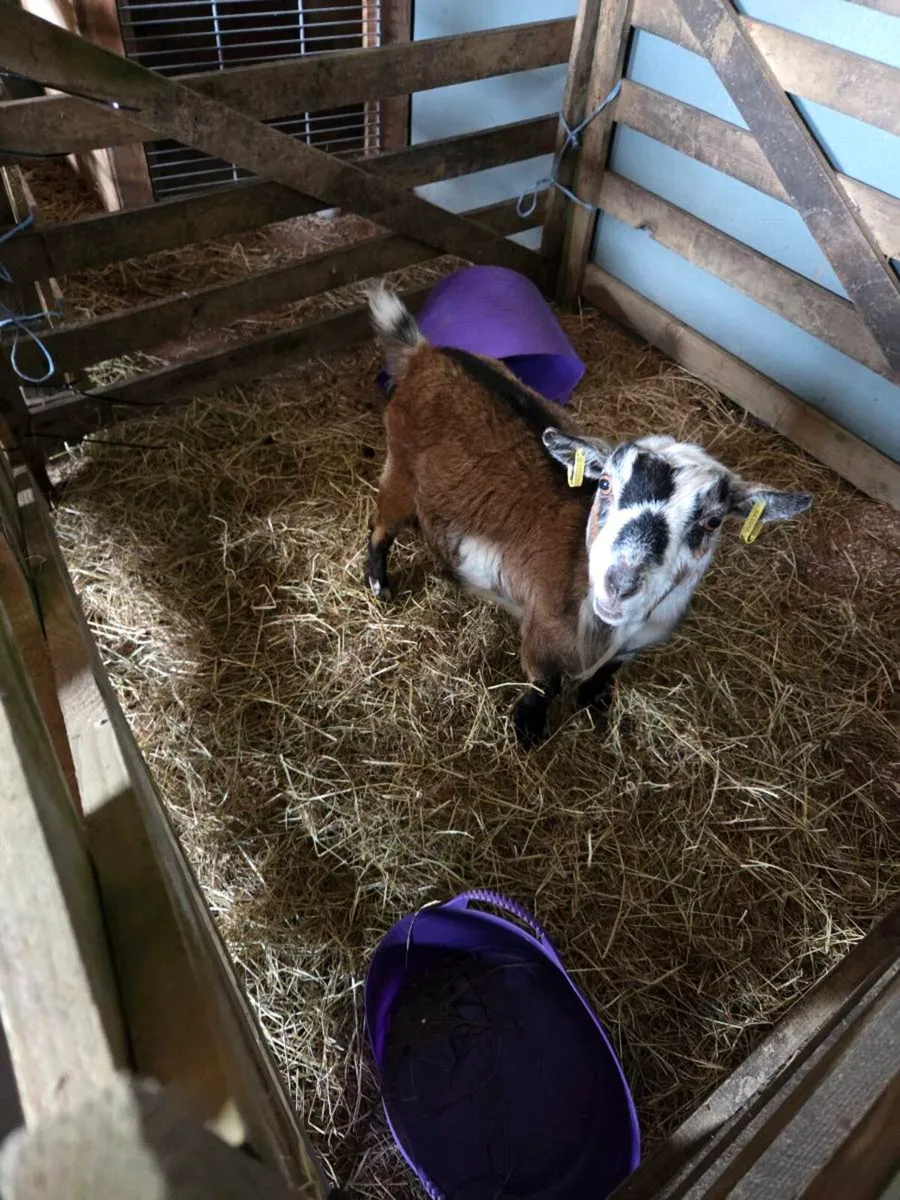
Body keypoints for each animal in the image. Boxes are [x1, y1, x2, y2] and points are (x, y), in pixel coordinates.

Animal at [365, 286, 813, 746]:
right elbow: (544, 684)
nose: (620, 584)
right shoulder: (542, 630)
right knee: (381, 526)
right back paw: (380, 584)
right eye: (605, 485)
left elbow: (606, 675)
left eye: (713, 521)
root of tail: (425, 352)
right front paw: (528, 730)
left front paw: (596, 703)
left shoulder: (635, 645)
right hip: (399, 469)